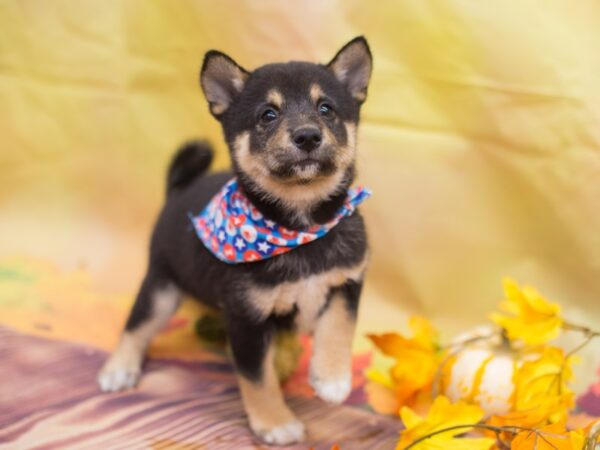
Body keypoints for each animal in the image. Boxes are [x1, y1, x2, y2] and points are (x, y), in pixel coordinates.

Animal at [98, 37, 370, 444]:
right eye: (268, 115)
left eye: (326, 108)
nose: (308, 135)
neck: (299, 228)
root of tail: (178, 191)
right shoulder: (246, 319)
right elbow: (258, 379)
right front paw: (275, 422)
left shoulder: (347, 281)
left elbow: (339, 325)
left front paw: (332, 377)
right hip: (162, 286)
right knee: (137, 325)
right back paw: (120, 368)